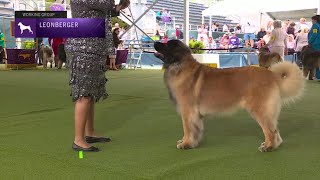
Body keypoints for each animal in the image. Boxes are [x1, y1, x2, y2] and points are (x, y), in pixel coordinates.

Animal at [155, 39, 304, 152]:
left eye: (167, 45)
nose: (155, 42)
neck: (179, 66)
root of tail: (271, 74)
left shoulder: (187, 112)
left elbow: (188, 129)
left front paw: (186, 143)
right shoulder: (195, 115)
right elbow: (196, 130)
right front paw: (192, 142)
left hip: (260, 110)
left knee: (270, 131)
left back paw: (268, 147)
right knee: (275, 130)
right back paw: (272, 145)